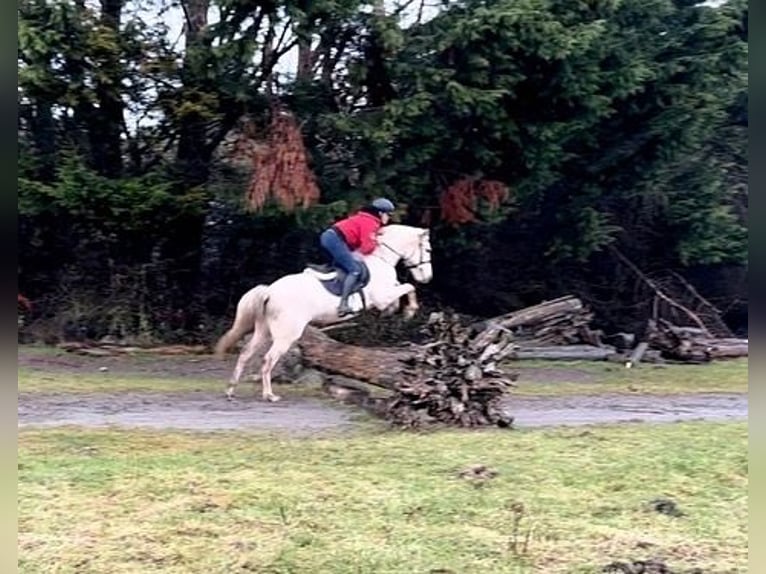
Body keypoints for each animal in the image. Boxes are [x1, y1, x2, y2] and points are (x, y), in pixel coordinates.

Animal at [214, 224, 432, 400]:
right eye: (428, 250)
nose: (428, 278)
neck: (381, 259)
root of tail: (269, 291)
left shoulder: (387, 292)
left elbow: (404, 288)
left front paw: (395, 310)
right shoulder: (381, 296)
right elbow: (409, 286)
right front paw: (409, 311)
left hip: (264, 330)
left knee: (245, 354)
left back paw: (231, 390)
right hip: (286, 335)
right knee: (268, 359)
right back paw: (269, 395)